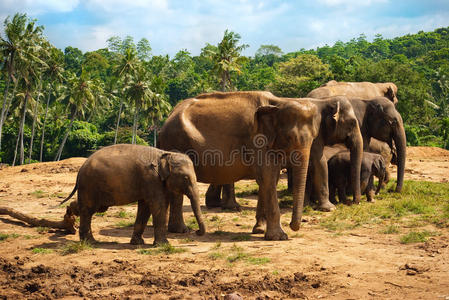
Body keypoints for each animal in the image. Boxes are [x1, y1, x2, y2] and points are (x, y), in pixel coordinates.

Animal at [60, 144, 206, 245]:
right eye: (186, 178)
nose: (196, 232)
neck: (165, 154)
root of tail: (80, 170)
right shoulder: (151, 180)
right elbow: (158, 206)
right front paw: (163, 245)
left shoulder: (150, 184)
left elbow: (145, 208)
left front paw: (137, 243)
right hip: (90, 186)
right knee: (89, 210)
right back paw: (90, 242)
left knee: (91, 208)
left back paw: (70, 212)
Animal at [158, 90, 318, 240]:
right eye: (289, 138)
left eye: (314, 137)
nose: (292, 225)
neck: (279, 102)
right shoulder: (256, 141)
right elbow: (268, 177)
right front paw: (279, 237)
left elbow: (270, 179)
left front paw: (259, 230)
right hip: (175, 142)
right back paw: (181, 230)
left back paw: (179, 230)